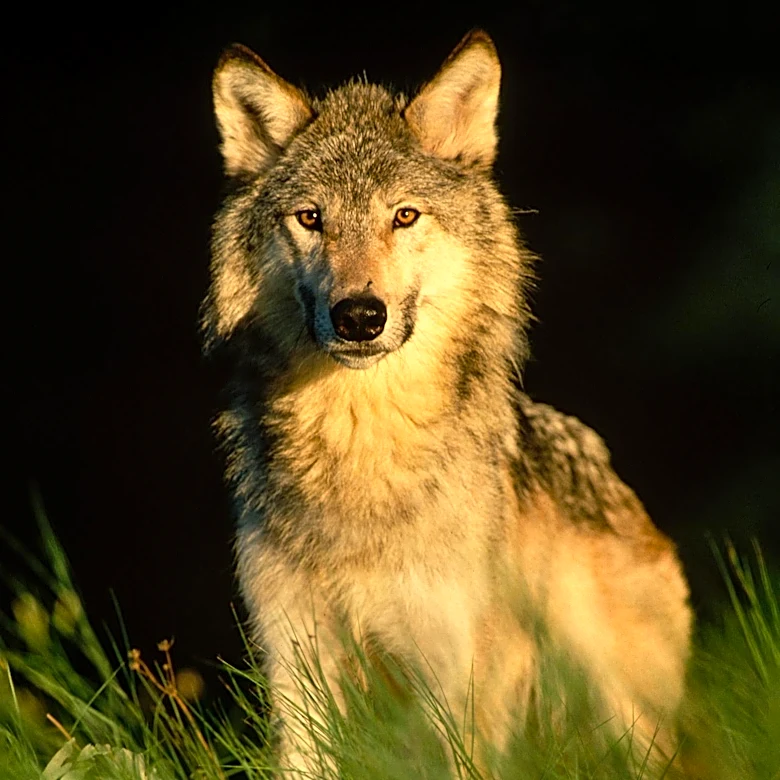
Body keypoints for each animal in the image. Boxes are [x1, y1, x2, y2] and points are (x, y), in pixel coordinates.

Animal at [203, 30, 692, 775]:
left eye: (404, 216)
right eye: (311, 219)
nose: (359, 316)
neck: (362, 445)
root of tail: (604, 465)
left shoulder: (458, 675)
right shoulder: (293, 662)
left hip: (619, 704)